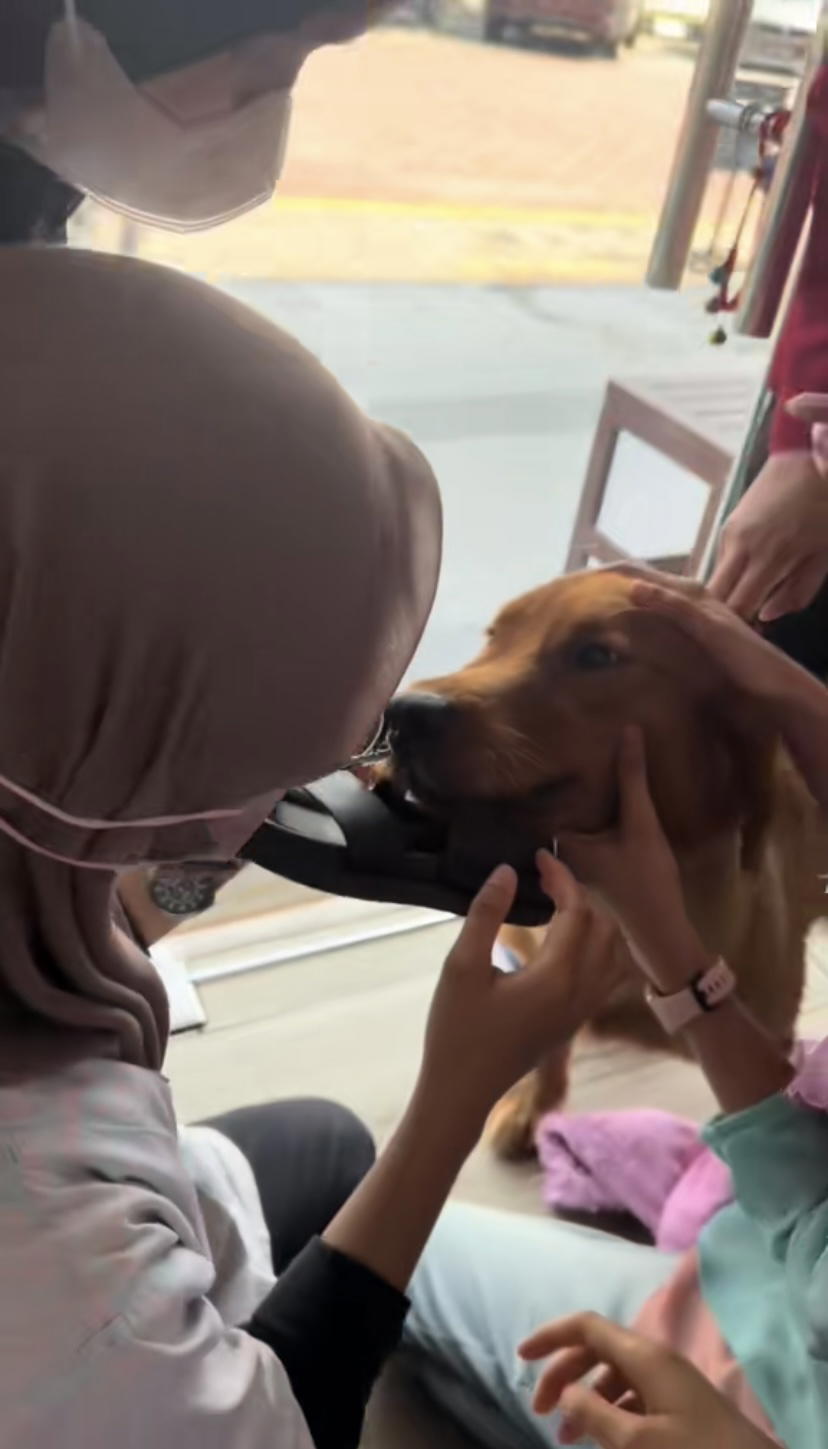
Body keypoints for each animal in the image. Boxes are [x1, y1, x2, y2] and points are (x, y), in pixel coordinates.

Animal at [388, 570, 828, 1159]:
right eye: (494, 636)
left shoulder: (770, 1036)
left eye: (597, 655)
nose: (404, 714)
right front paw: (532, 1106)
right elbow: (547, 1047)